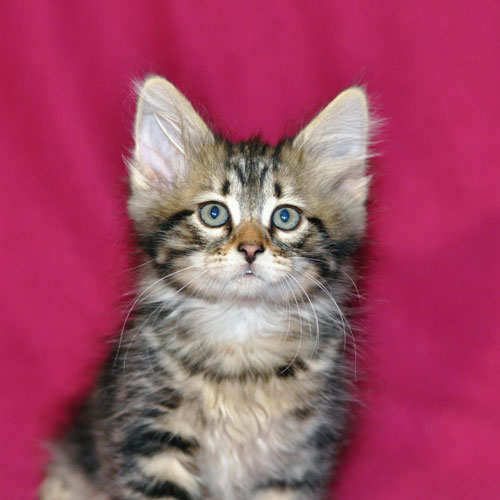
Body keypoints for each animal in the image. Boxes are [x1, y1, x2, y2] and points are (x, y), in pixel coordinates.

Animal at [41, 75, 372, 500]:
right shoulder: (148, 432)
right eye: (214, 214)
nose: (250, 249)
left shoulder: (298, 458)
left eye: (285, 218)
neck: (242, 344)